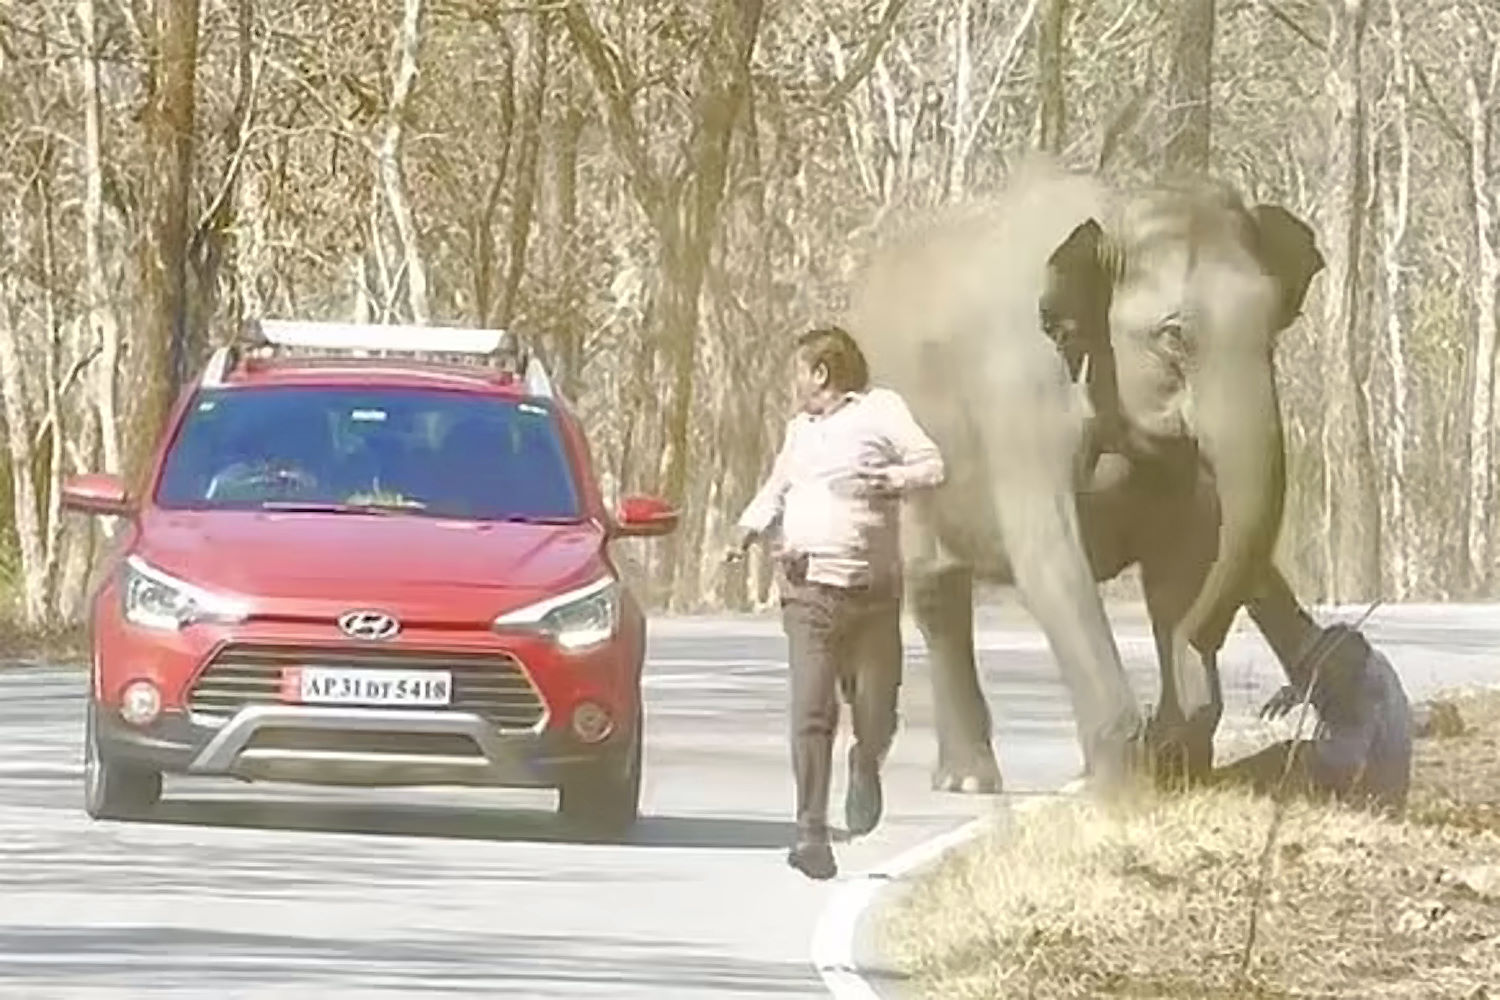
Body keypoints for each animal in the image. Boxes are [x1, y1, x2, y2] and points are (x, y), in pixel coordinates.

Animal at [852, 156, 1332, 791]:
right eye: (1173, 336)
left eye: (1276, 322)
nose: (1278, 702)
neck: (1118, 213)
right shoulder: (1021, 400)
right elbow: (1052, 559)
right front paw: (1120, 787)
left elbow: (1183, 559)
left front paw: (1174, 760)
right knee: (935, 588)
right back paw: (969, 781)